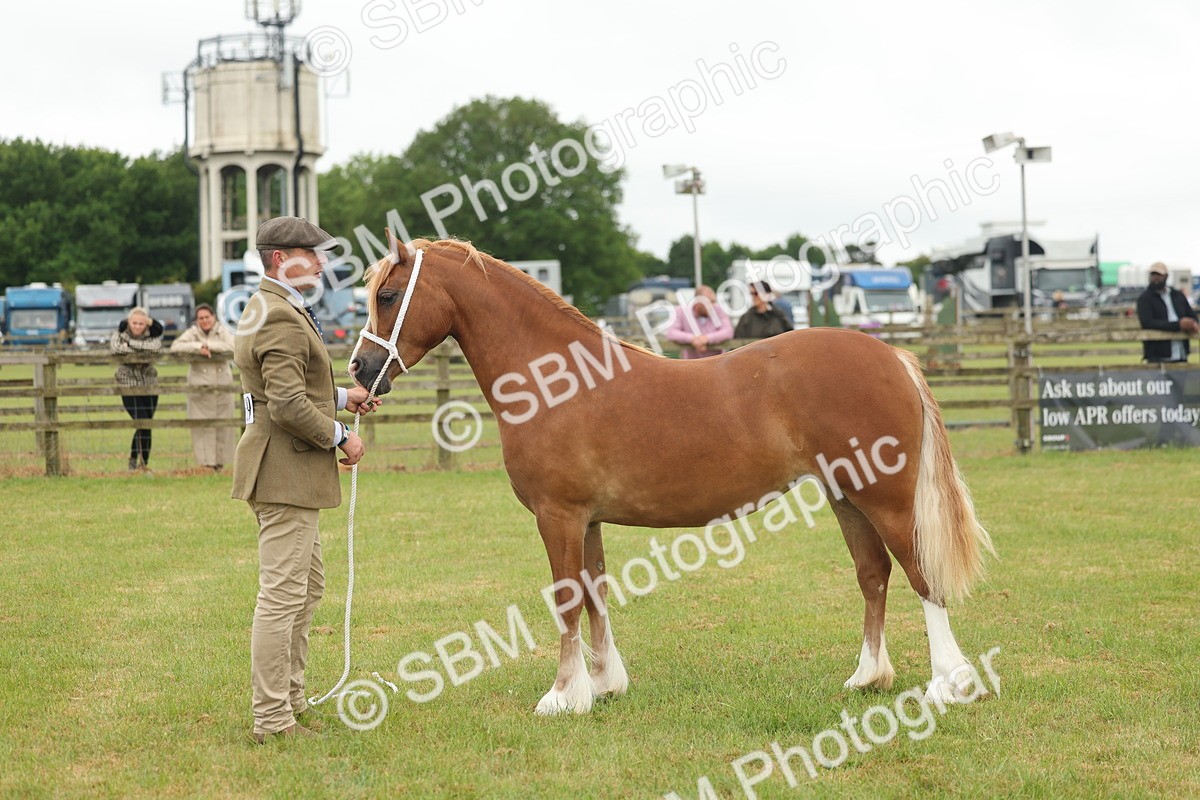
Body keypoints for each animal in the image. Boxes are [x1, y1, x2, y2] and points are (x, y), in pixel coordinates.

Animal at [350, 238, 995, 715]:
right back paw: (868, 677)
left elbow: (566, 600)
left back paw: (949, 683)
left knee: (919, 575)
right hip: (846, 496)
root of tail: (892, 357)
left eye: (388, 294)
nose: (359, 370)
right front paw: (603, 685)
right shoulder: (586, 521)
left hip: (885, 499)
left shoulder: (559, 516)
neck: (555, 380)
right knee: (873, 574)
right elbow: (594, 594)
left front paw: (562, 696)